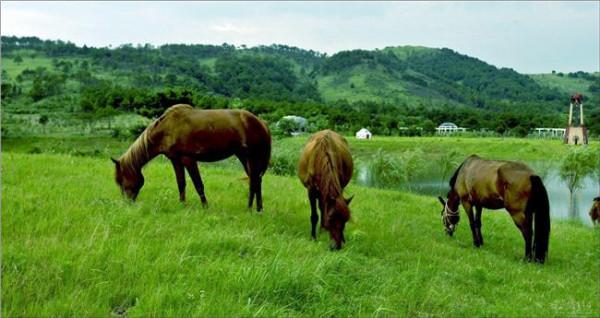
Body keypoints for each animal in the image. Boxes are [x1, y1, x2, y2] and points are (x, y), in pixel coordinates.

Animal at [111, 103, 270, 211]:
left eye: (122, 181)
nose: (127, 203)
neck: (167, 128)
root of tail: (261, 123)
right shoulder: (175, 160)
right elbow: (181, 183)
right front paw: (182, 204)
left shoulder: (188, 159)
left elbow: (198, 184)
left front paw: (205, 207)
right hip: (245, 157)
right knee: (255, 180)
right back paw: (255, 209)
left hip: (252, 157)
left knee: (254, 181)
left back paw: (252, 209)